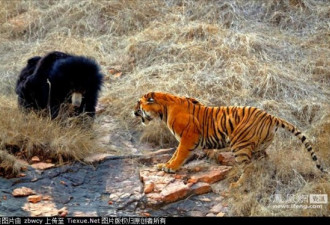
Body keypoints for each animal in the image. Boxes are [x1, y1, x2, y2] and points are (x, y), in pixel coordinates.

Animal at [133, 91, 324, 188]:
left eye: (139, 104)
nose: (133, 112)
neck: (163, 111)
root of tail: (271, 116)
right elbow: (175, 154)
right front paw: (164, 165)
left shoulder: (188, 138)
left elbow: (179, 154)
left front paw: (170, 168)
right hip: (259, 147)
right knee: (264, 162)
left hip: (239, 145)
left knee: (248, 168)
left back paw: (237, 184)